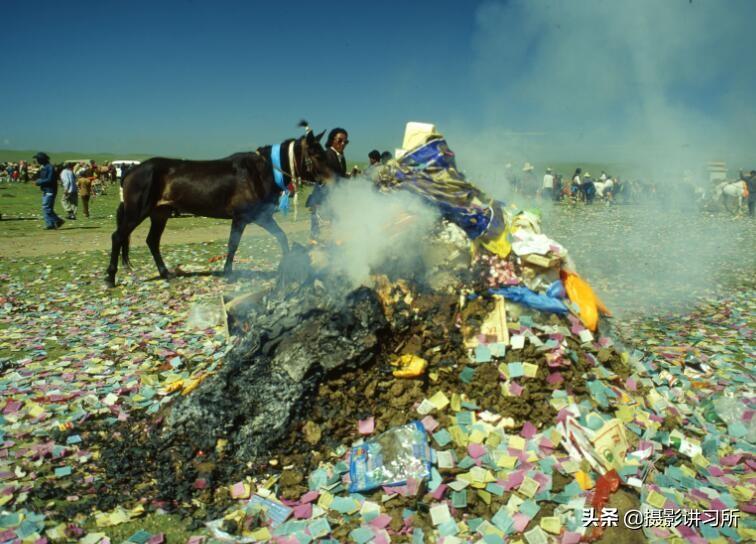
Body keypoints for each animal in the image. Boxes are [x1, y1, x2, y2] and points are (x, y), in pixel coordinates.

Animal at [106, 121, 330, 286]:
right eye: (317, 154)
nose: (334, 179)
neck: (259, 173)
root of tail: (131, 171)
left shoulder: (261, 217)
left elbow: (281, 237)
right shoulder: (243, 217)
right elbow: (233, 244)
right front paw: (228, 273)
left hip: (160, 213)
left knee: (152, 241)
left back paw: (165, 273)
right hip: (137, 212)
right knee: (118, 237)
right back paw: (110, 278)